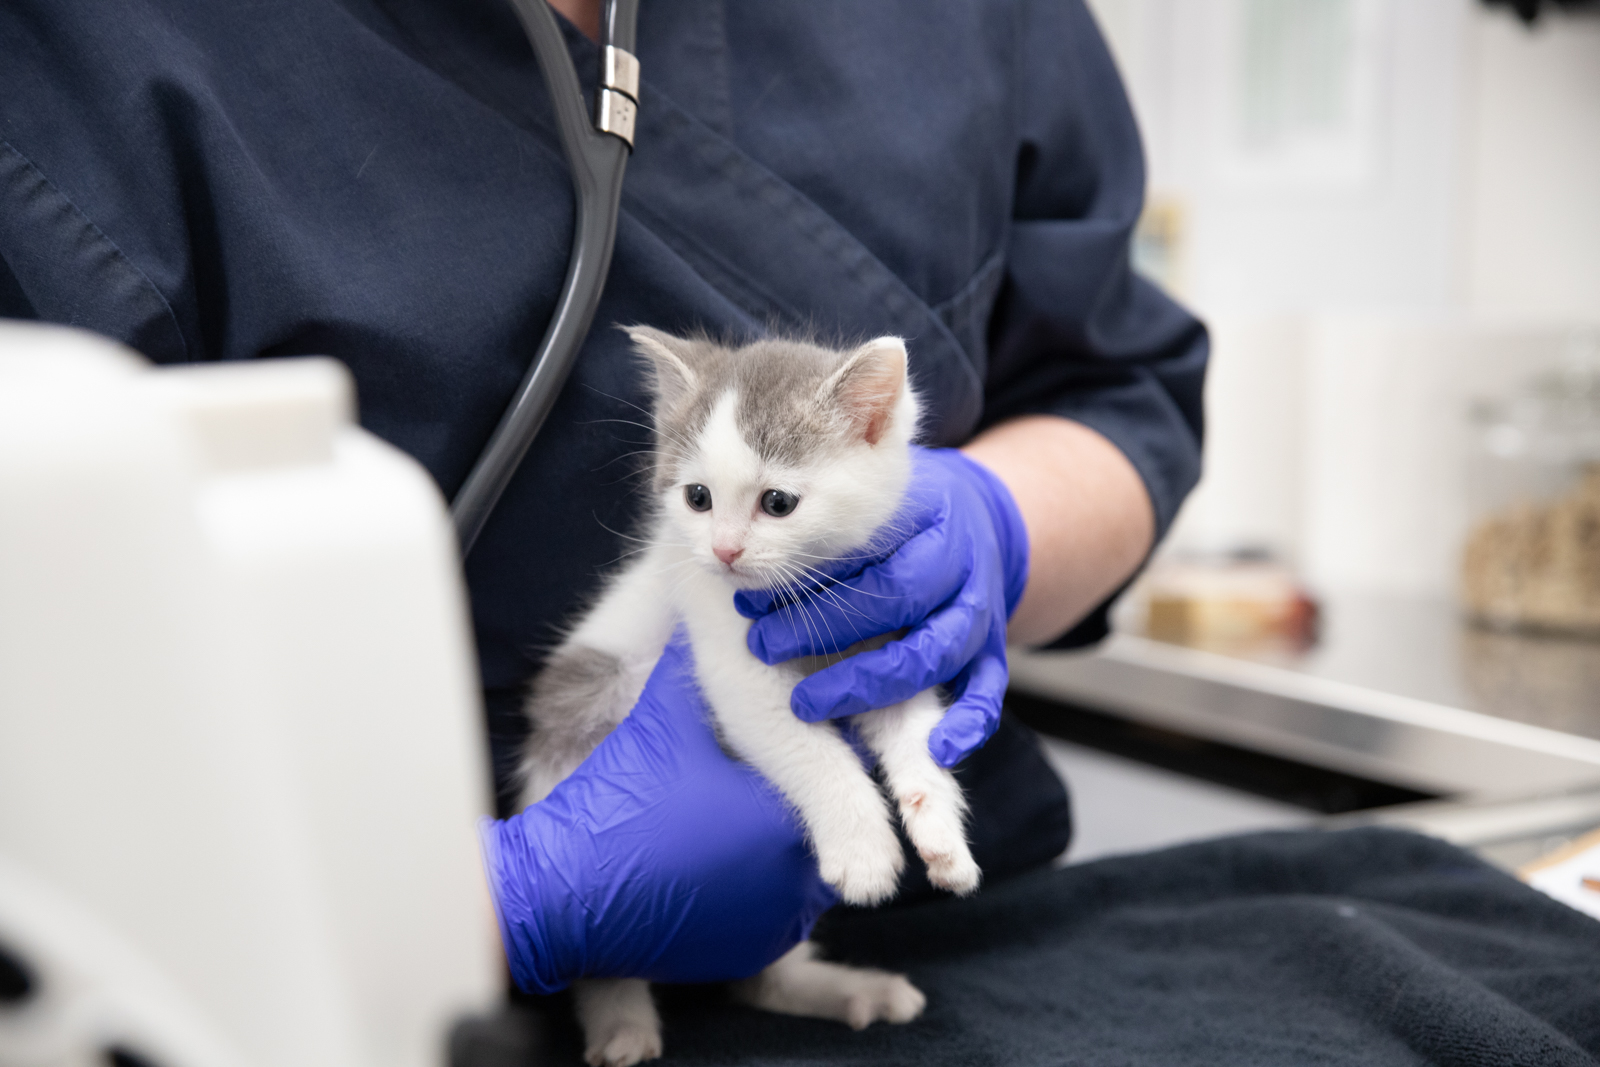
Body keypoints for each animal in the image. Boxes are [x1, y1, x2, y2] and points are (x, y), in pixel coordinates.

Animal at [518, 329, 979, 1062]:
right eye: (697, 497)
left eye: (779, 503)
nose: (725, 551)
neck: (804, 598)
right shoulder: (731, 664)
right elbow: (810, 751)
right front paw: (863, 848)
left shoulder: (889, 650)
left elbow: (914, 734)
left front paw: (940, 834)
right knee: (593, 949)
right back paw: (622, 1025)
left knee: (759, 979)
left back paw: (850, 991)